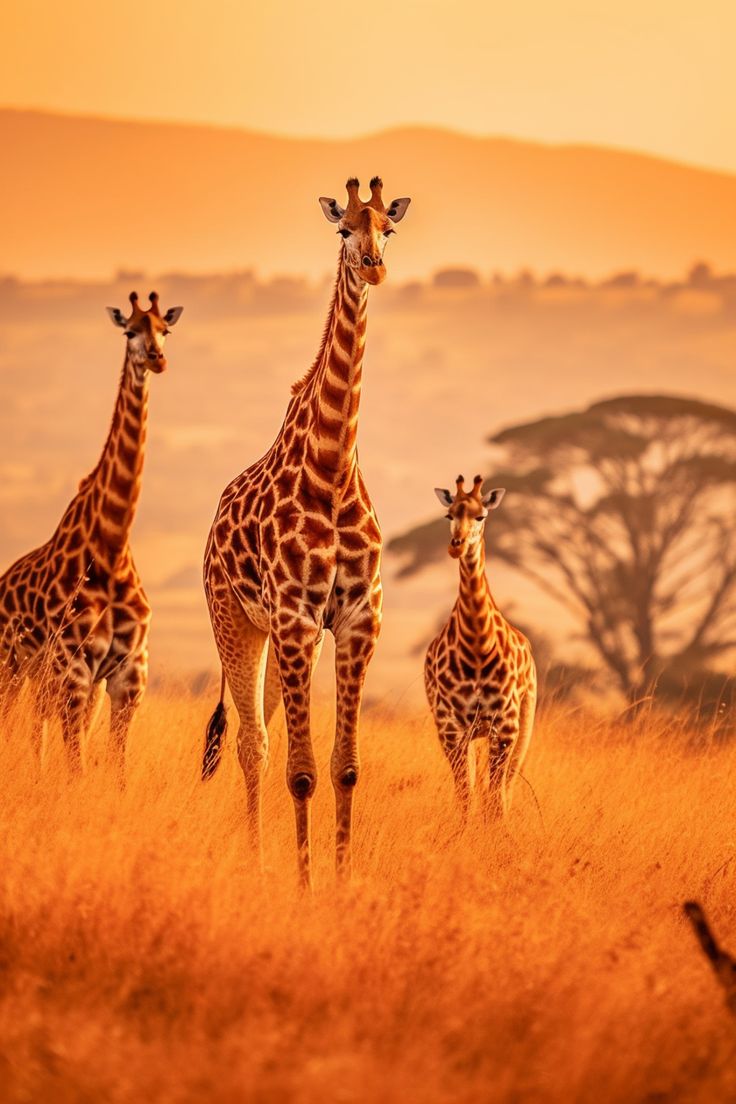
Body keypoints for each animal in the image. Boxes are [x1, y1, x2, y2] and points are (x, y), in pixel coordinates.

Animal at [0, 293, 183, 777]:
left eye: (165, 330)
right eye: (129, 331)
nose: (157, 359)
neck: (112, 546)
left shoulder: (127, 676)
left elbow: (116, 769)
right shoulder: (75, 668)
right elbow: (77, 766)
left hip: (40, 676)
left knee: (35, 725)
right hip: (12, 664)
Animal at [204, 178, 412, 887]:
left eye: (388, 229)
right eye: (343, 229)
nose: (374, 267)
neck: (332, 466)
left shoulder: (355, 619)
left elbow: (346, 769)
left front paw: (342, 882)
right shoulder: (295, 617)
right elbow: (302, 773)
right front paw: (303, 884)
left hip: (285, 639)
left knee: (259, 736)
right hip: (236, 622)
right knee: (252, 744)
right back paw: (260, 863)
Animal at [423, 476, 538, 830]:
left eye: (481, 515)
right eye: (449, 515)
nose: (456, 545)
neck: (476, 646)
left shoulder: (506, 725)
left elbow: (494, 800)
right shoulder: (450, 726)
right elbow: (466, 796)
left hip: (524, 720)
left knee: (506, 787)